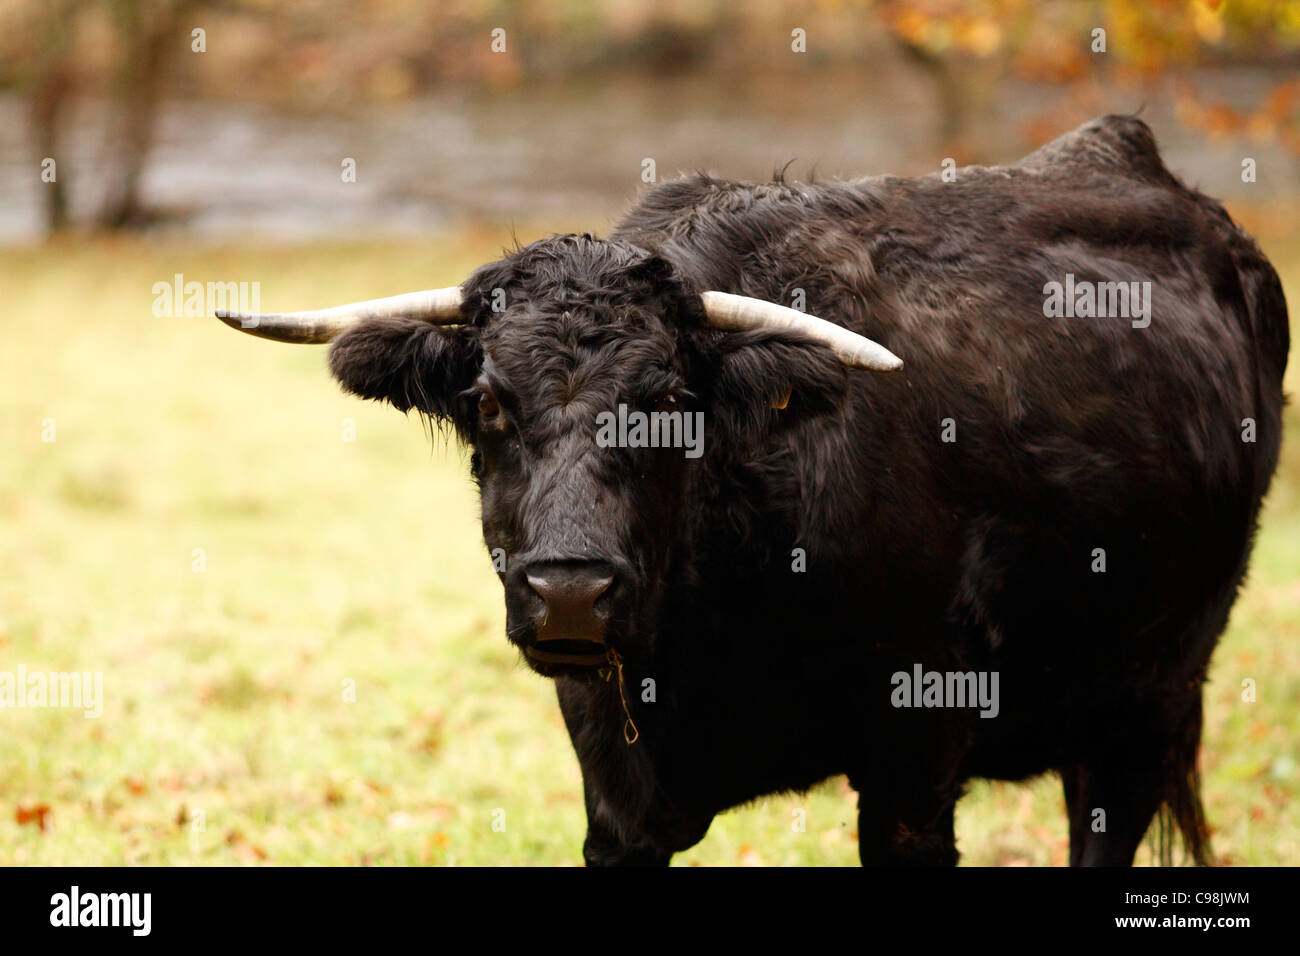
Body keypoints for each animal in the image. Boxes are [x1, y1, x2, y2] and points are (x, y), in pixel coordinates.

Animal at [215, 117, 1289, 868]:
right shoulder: (616, 792)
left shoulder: (915, 765)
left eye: (671, 402)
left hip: (1149, 697)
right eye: (485, 401)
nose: (569, 593)